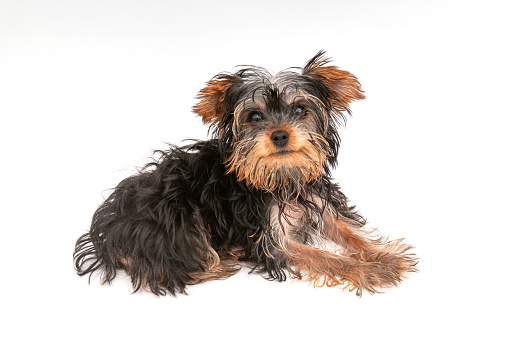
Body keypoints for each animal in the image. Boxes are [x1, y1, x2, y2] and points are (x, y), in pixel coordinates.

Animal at [74, 51, 416, 298]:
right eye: (254, 116)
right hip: (176, 213)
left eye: (299, 110)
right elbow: (324, 257)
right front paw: (368, 270)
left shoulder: (317, 202)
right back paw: (223, 259)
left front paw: (385, 257)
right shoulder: (271, 238)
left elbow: (350, 233)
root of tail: (106, 231)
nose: (280, 134)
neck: (282, 177)